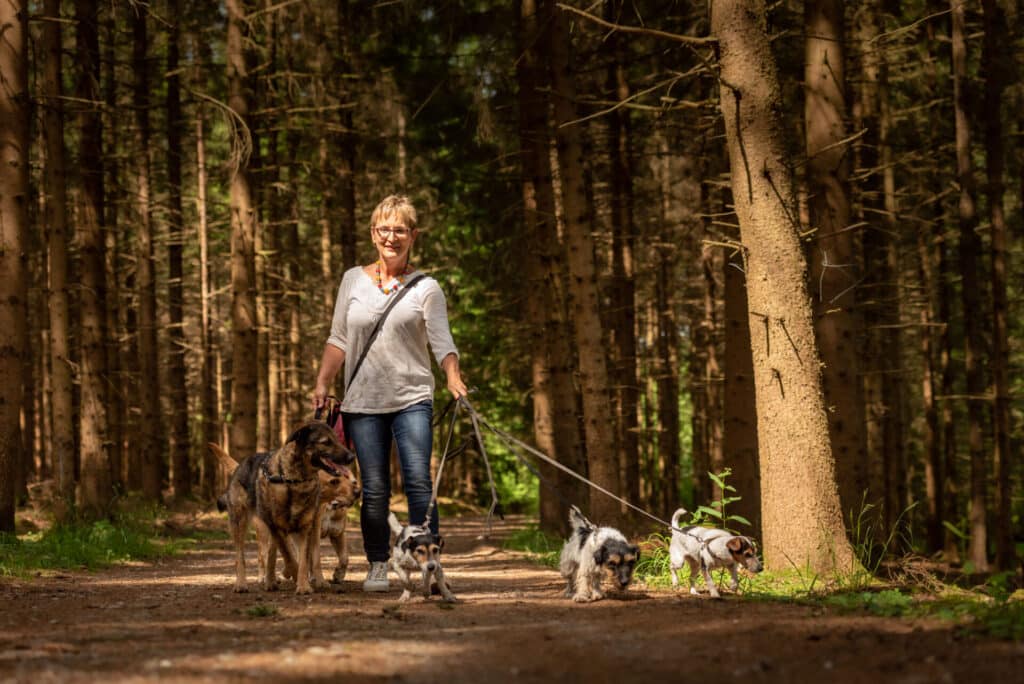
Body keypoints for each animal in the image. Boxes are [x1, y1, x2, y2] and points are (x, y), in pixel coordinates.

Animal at [210, 421, 352, 593]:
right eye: (326, 442)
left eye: (337, 439)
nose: (351, 456)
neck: (296, 481)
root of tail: (241, 464)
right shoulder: (277, 527)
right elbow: (289, 556)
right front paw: (295, 575)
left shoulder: (306, 528)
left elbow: (305, 560)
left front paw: (304, 585)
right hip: (241, 523)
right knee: (244, 557)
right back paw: (243, 583)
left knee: (272, 554)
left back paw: (271, 581)